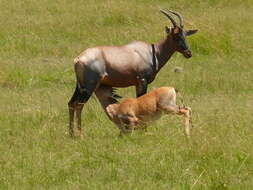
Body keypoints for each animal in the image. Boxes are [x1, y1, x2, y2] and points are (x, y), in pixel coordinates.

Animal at [68, 9, 198, 138]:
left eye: (185, 34)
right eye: (175, 35)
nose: (188, 53)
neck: (151, 52)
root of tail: (78, 59)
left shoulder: (136, 83)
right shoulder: (142, 80)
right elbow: (141, 100)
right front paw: (143, 130)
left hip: (80, 86)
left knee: (71, 103)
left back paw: (71, 134)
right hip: (89, 86)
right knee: (79, 105)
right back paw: (80, 135)